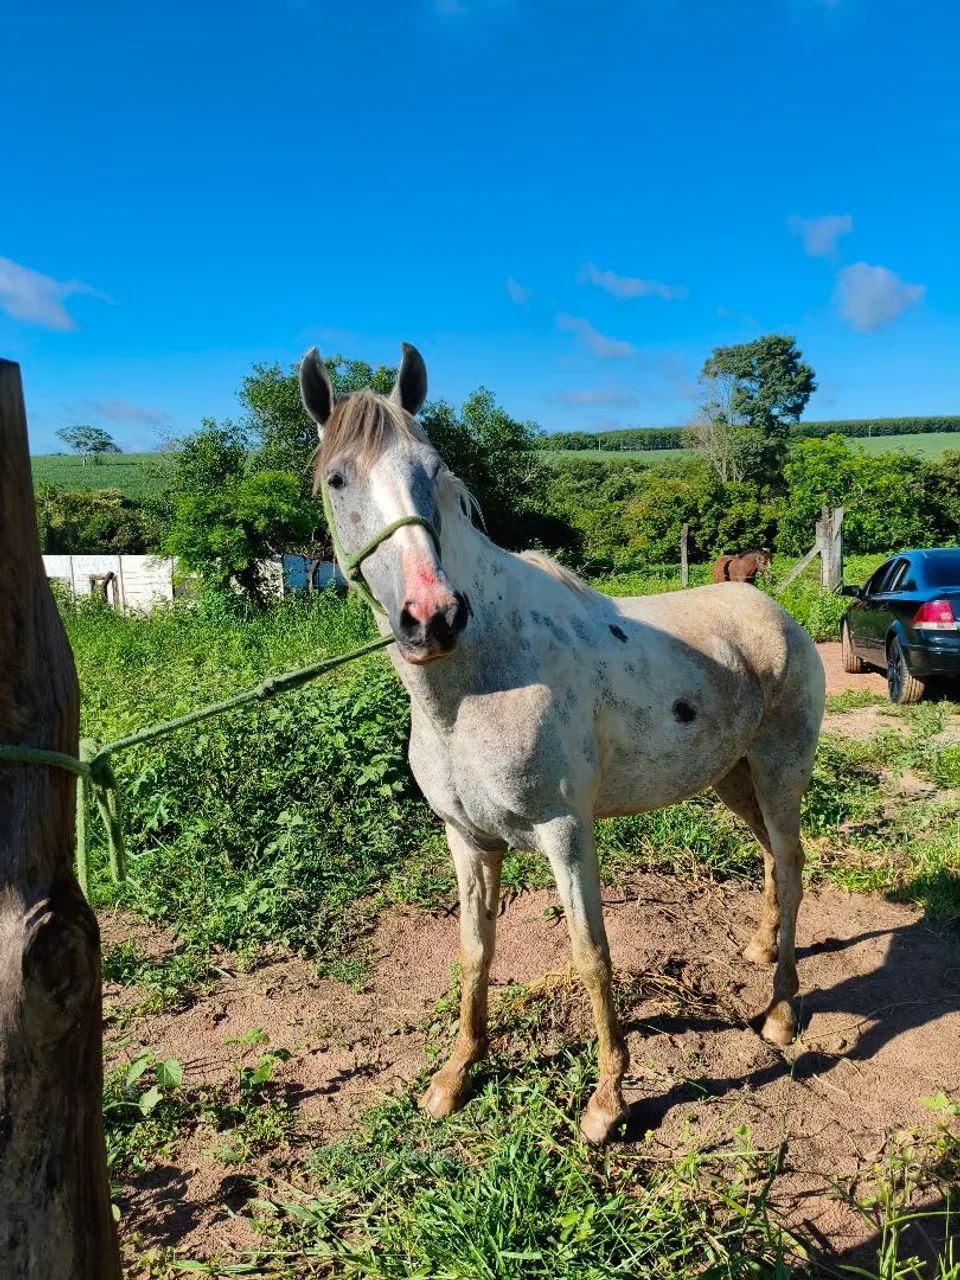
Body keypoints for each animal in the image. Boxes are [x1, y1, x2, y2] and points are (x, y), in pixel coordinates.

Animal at [299, 343, 825, 1145]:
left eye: (434, 470)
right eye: (337, 479)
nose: (434, 616)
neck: (477, 686)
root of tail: (779, 616)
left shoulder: (564, 833)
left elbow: (591, 953)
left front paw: (608, 1100)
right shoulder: (467, 840)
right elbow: (474, 949)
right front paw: (455, 1074)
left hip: (777, 771)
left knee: (792, 867)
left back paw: (783, 1010)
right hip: (732, 779)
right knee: (771, 858)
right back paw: (762, 949)